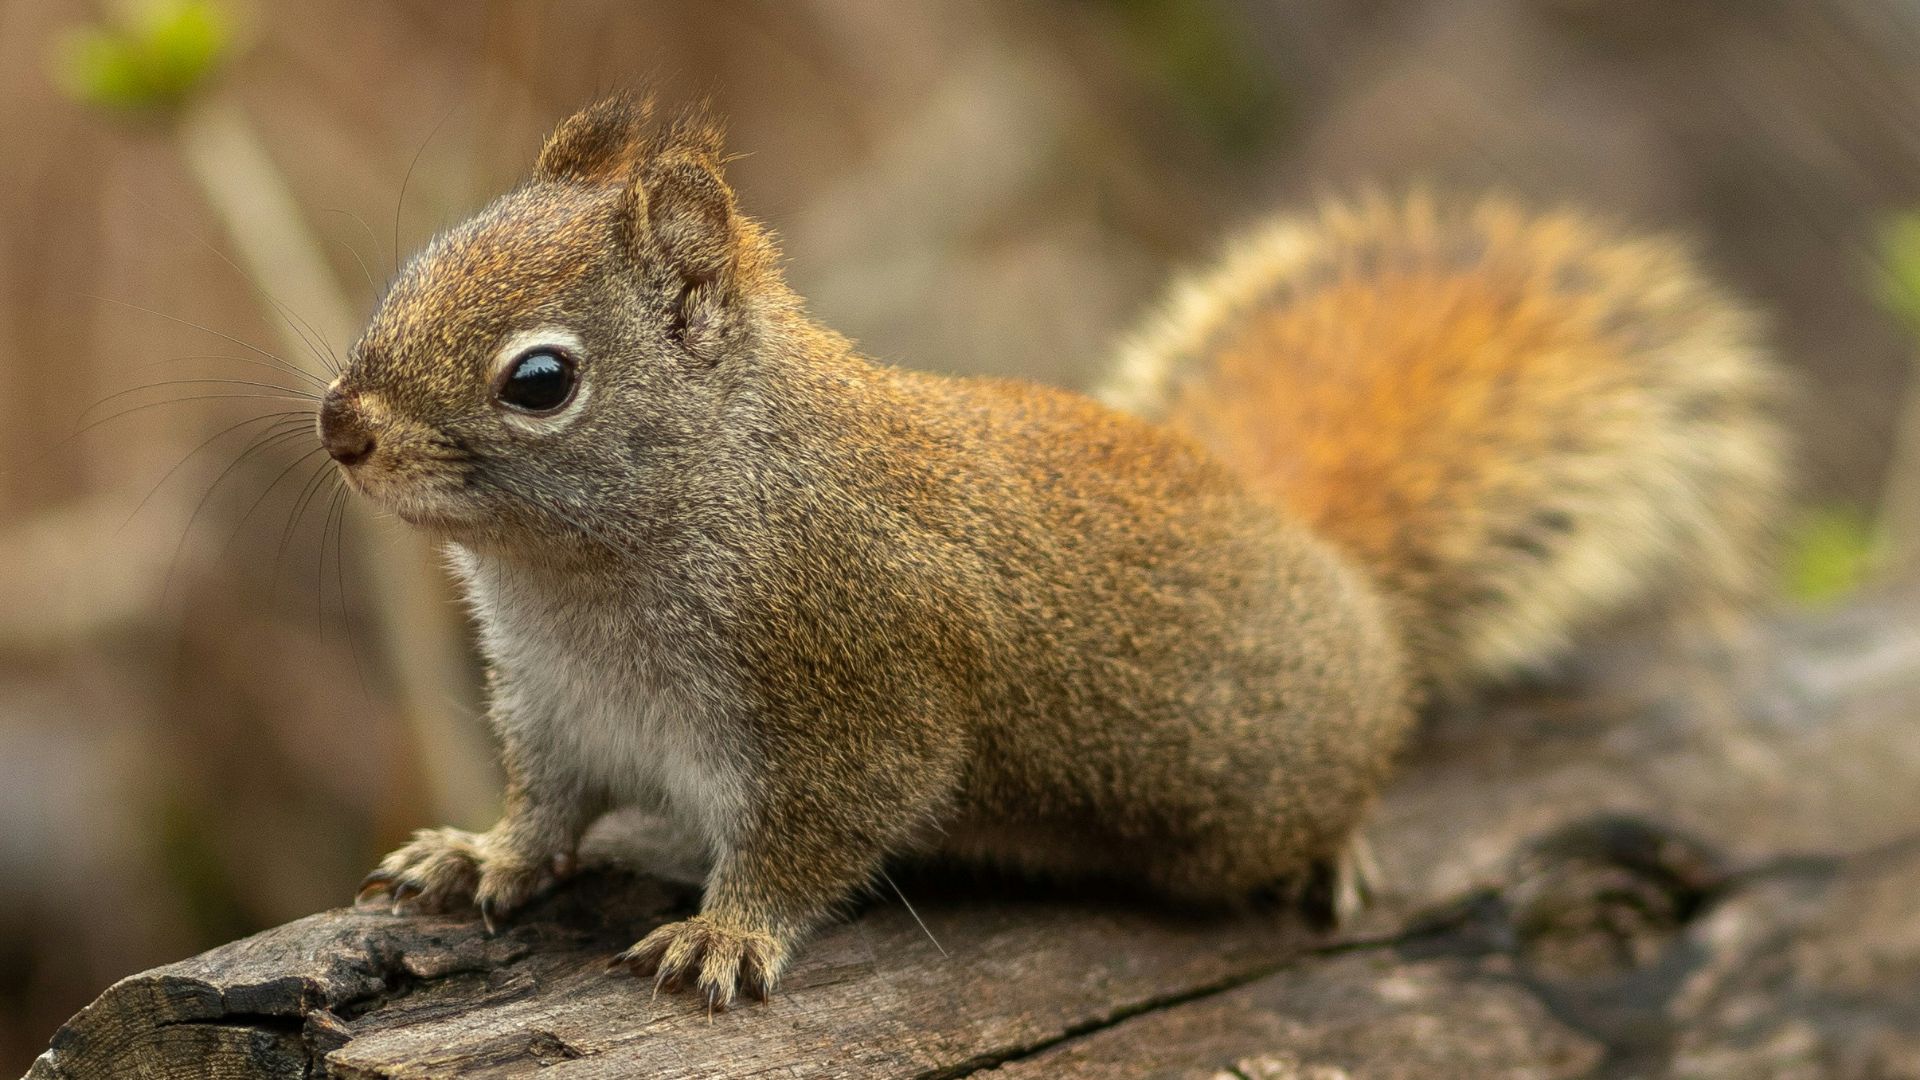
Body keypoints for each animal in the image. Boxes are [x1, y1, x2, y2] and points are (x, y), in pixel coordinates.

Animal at [338, 96, 1785, 1009]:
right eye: (416, 266)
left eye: (539, 380)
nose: (340, 428)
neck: (577, 578)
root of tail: (1326, 561)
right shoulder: (559, 709)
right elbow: (547, 810)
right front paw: (478, 856)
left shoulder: (862, 694)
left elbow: (814, 840)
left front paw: (724, 936)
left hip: (1246, 794)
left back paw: (1330, 853)